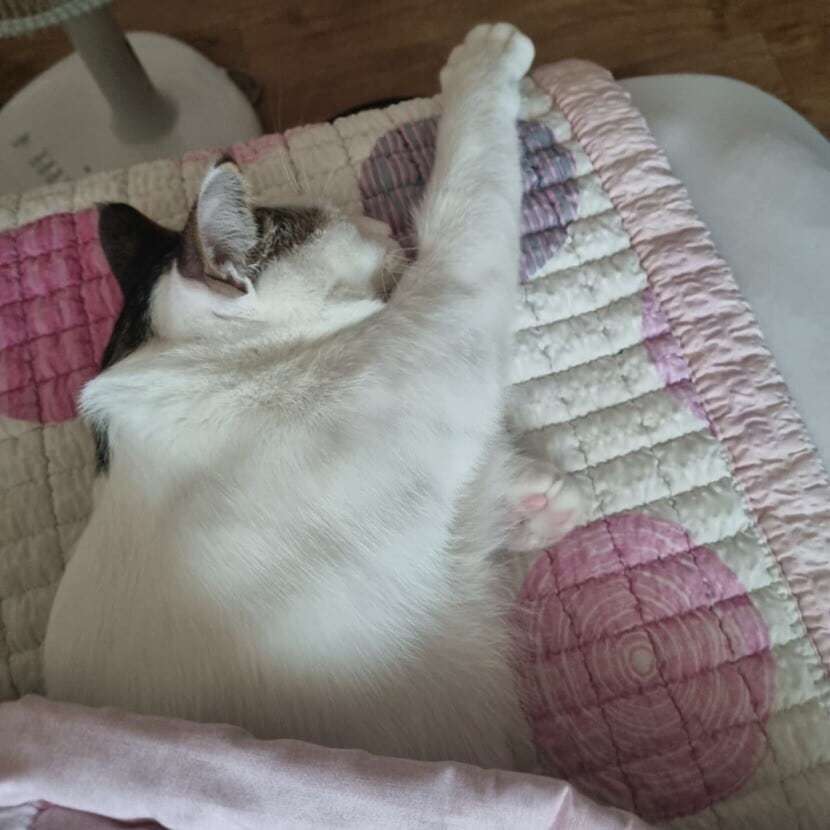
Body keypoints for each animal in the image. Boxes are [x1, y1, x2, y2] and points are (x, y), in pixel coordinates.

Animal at [44, 24, 581, 770]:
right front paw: (483, 59)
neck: (212, 369)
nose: (377, 225)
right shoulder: (450, 307)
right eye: (333, 223)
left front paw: (536, 499)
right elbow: (468, 180)